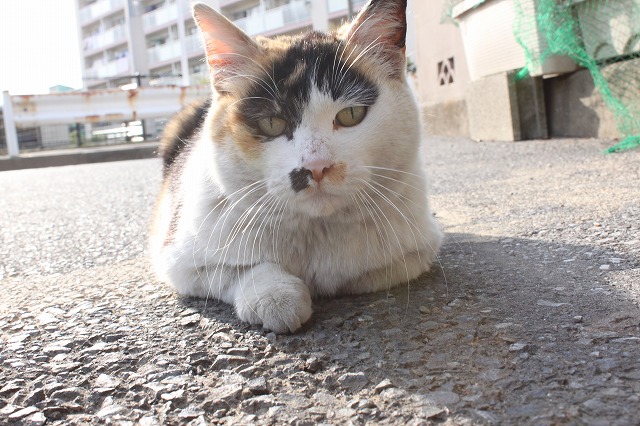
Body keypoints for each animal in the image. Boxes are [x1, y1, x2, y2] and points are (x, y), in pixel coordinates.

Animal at [149, 0, 440, 332]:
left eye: (351, 114)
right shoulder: (178, 260)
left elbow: (363, 273)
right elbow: (239, 268)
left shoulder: (417, 249)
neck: (316, 232)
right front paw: (276, 297)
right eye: (272, 123)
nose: (316, 167)